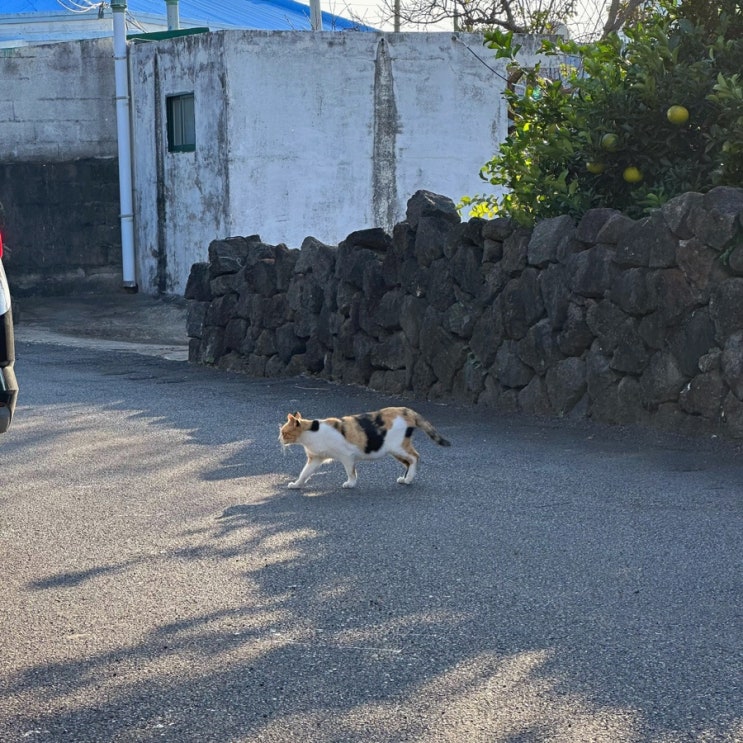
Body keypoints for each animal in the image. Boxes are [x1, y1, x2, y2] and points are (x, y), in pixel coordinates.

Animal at [278, 406, 451, 489]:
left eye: (284, 432)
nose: (279, 439)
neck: (311, 434)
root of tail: (405, 410)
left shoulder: (347, 456)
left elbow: (351, 472)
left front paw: (350, 484)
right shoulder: (315, 458)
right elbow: (304, 473)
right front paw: (296, 485)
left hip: (397, 447)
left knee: (415, 457)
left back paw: (408, 479)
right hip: (394, 451)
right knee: (409, 461)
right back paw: (406, 479)